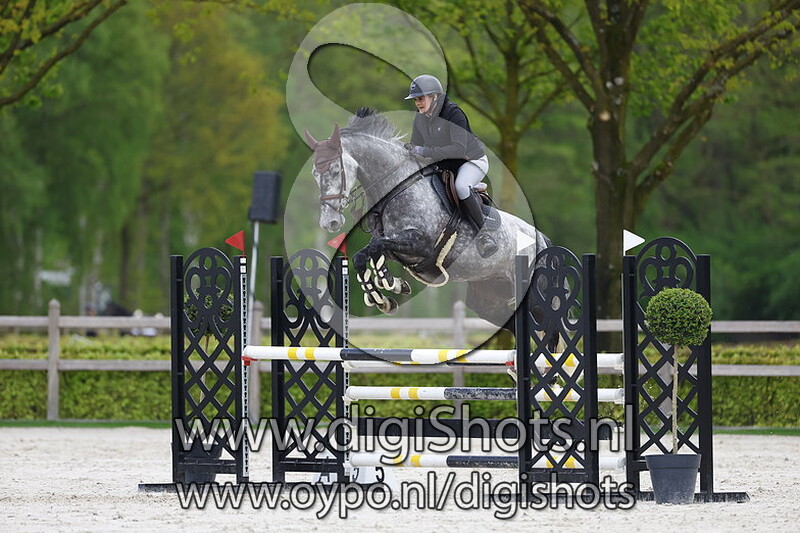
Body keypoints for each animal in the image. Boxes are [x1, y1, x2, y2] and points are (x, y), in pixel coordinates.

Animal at [304, 108, 552, 330]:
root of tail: (541, 238)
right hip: (488, 297)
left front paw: (389, 285)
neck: (398, 185)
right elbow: (365, 255)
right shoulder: (397, 248)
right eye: (314, 174)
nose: (329, 222)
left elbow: (376, 247)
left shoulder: (420, 243)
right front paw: (388, 293)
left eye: (335, 171)